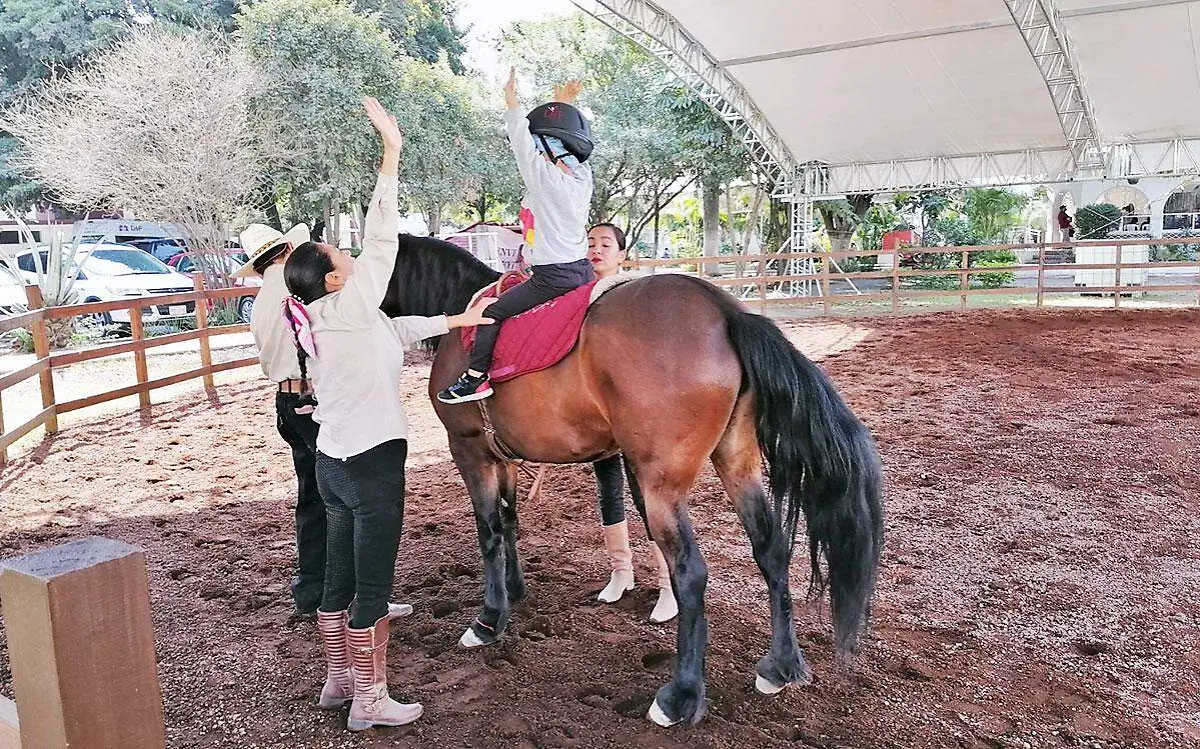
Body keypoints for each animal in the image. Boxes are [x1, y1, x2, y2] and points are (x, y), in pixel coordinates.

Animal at [379, 236, 888, 729]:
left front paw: (488, 619)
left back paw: (681, 696)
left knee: (691, 572)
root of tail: (724, 310)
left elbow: (488, 532)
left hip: (660, 486)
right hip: (736, 462)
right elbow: (509, 522)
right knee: (772, 550)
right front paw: (513, 592)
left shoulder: (468, 451)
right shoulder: (501, 457)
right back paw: (780, 666)